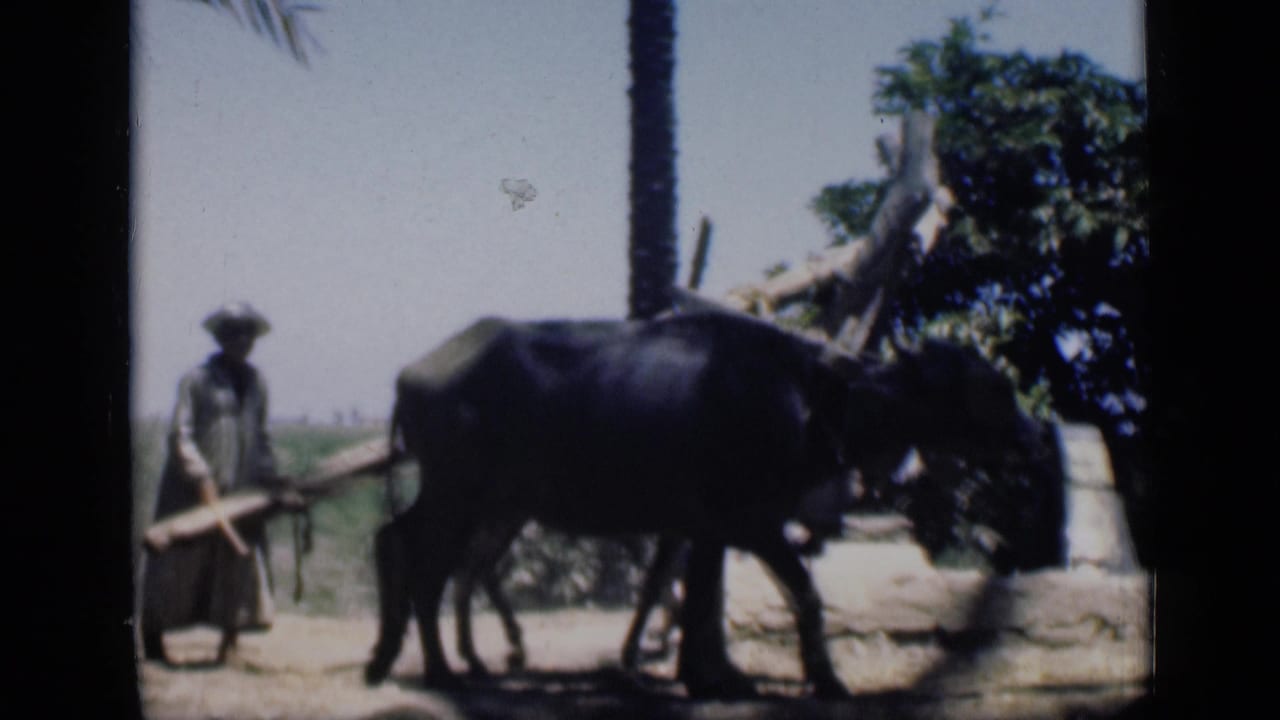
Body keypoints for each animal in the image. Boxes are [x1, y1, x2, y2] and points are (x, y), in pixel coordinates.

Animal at [364, 311, 1046, 699]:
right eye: (989, 388)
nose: (1031, 438)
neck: (806, 398)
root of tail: (411, 373)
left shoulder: (705, 529)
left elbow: (688, 598)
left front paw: (702, 674)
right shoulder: (753, 522)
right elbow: (803, 594)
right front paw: (824, 679)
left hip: (483, 501)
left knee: (404, 544)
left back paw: (402, 656)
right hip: (458, 494)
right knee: (423, 564)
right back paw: (438, 668)